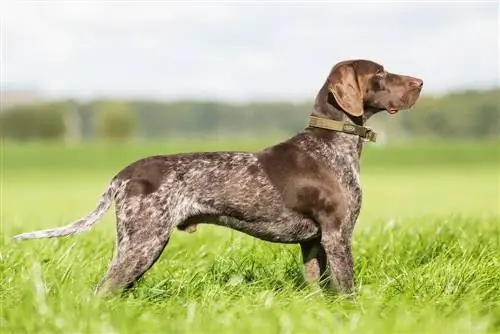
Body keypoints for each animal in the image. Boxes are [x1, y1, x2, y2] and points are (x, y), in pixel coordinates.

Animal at [11, 58, 422, 296]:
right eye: (380, 73)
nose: (419, 82)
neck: (332, 144)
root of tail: (123, 175)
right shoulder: (338, 235)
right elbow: (348, 288)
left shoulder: (313, 242)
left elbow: (318, 289)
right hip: (143, 244)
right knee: (102, 291)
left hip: (137, 246)